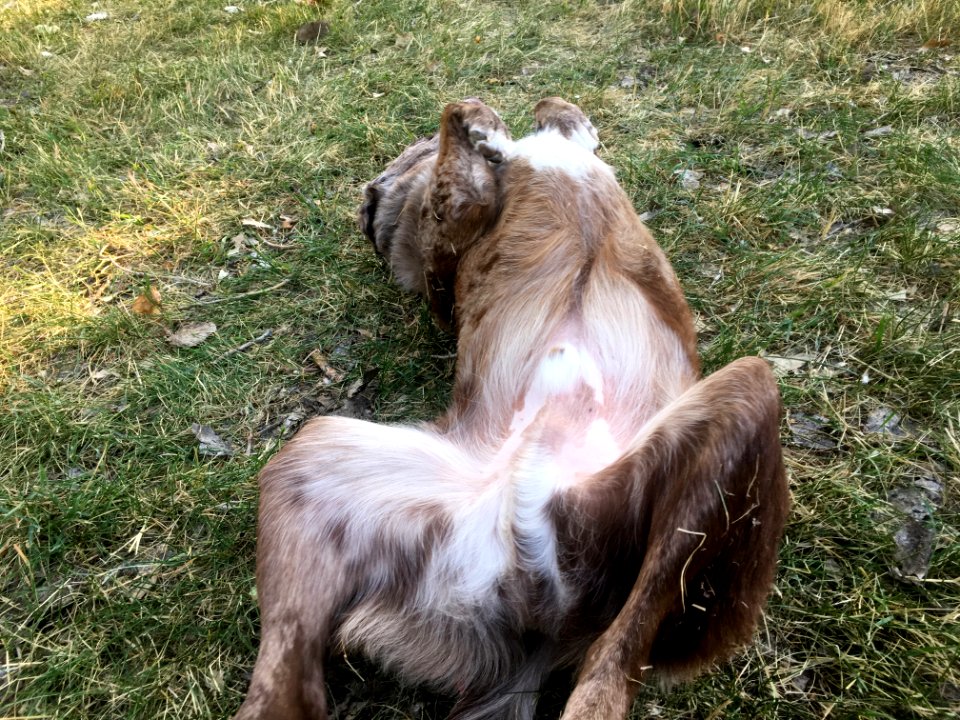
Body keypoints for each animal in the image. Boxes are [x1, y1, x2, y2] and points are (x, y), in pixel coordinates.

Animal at [232, 97, 788, 720]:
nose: (408, 155)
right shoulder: (447, 254)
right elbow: (461, 129)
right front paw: (486, 127)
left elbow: (545, 116)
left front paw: (519, 130)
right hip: (319, 454)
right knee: (615, 659)